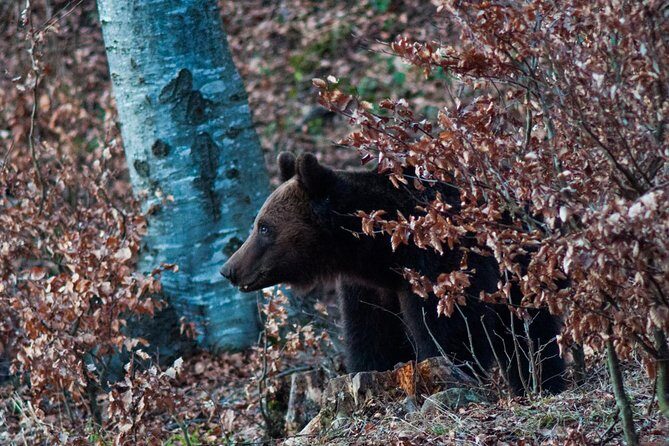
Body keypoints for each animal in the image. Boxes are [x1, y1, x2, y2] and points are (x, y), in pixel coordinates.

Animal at [221, 152, 566, 394]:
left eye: (264, 227)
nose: (229, 269)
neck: (380, 250)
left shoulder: (438, 265)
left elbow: (450, 332)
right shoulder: (369, 289)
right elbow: (371, 339)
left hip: (521, 268)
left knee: (529, 330)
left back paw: (540, 383)